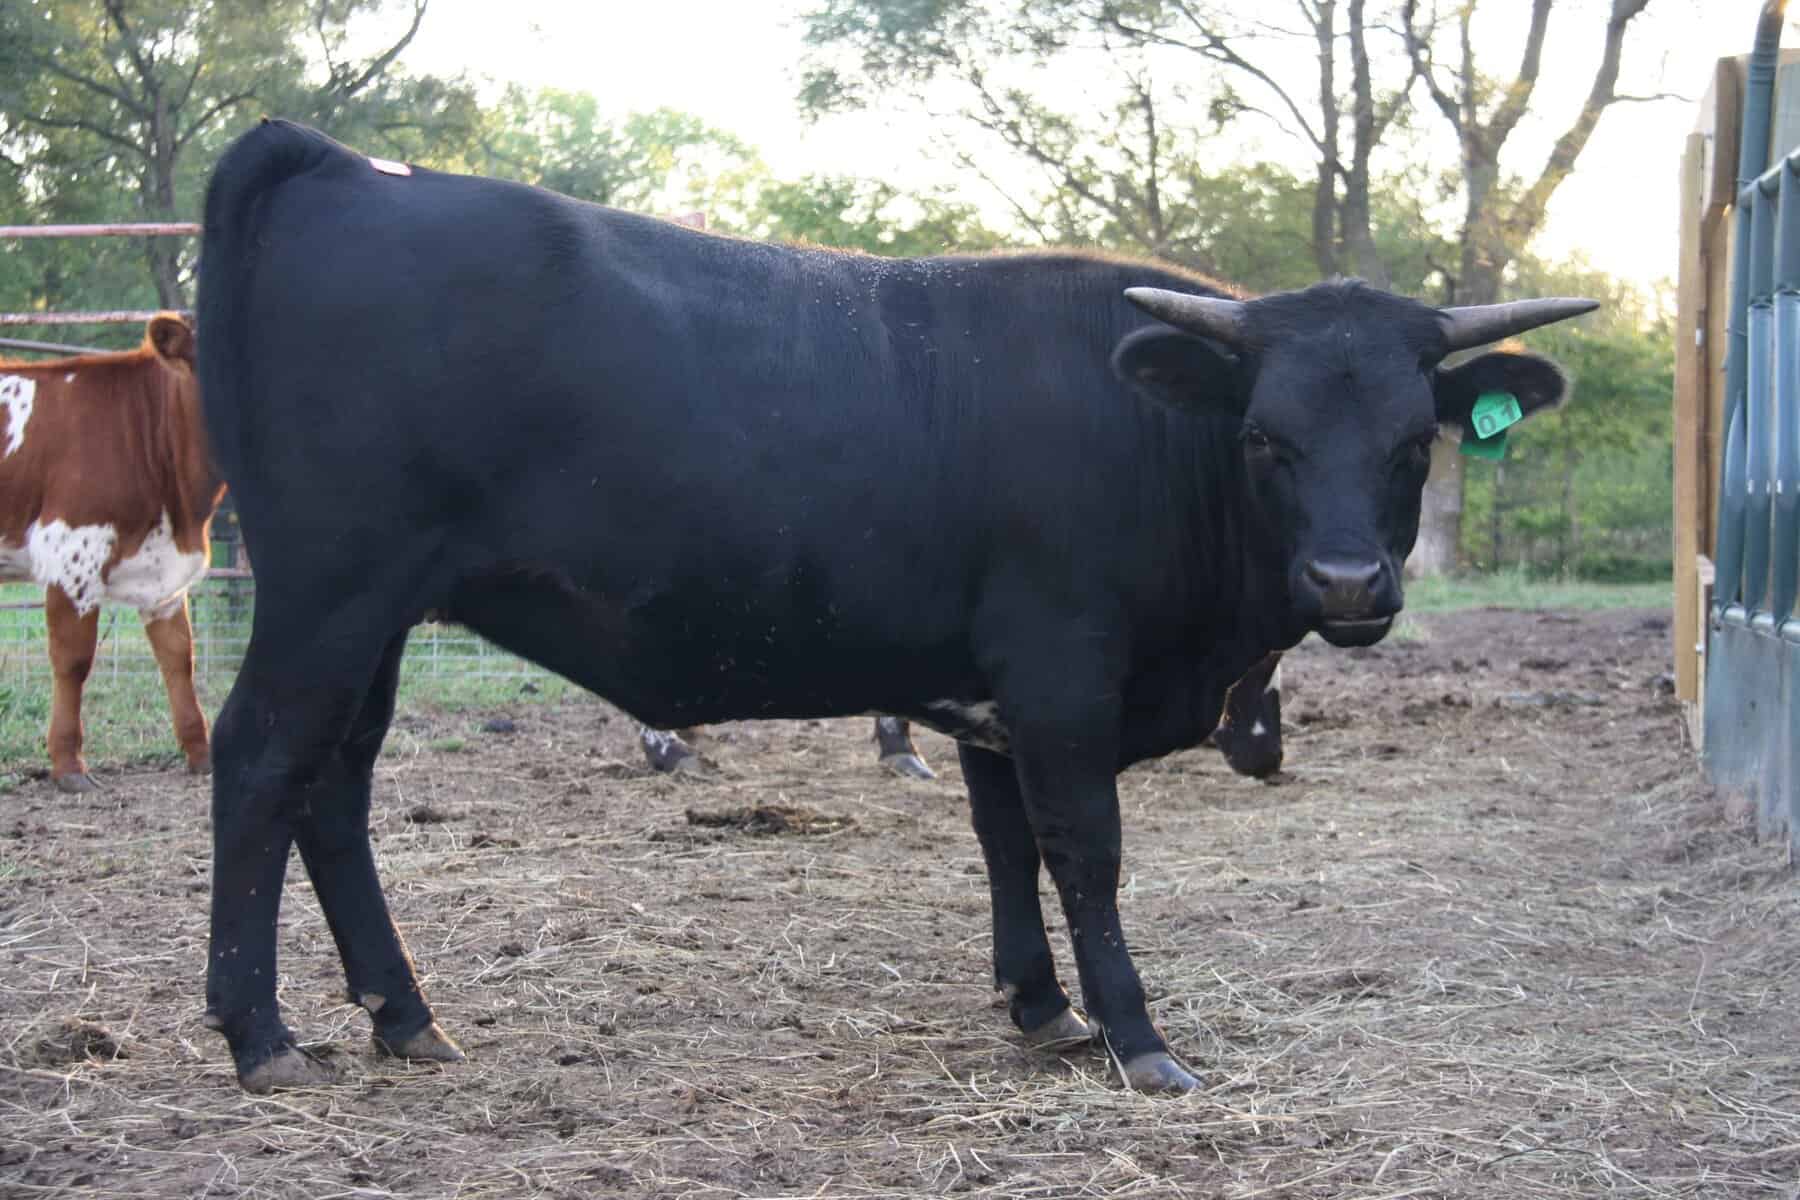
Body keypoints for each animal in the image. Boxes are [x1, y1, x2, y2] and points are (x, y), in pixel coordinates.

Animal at [0, 316, 223, 792]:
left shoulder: (165, 579)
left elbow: (179, 659)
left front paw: (202, 754)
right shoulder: (72, 554)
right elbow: (73, 662)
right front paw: (68, 765)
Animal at [194, 119, 1594, 1095]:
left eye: (1415, 442)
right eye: (1266, 439)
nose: (1349, 584)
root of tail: (345, 167)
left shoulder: (987, 696)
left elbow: (1007, 844)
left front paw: (1042, 1006)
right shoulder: (1060, 676)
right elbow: (1086, 850)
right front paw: (1137, 1035)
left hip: (377, 616)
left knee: (335, 785)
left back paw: (403, 1014)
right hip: (329, 594)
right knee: (262, 763)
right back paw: (259, 1032)